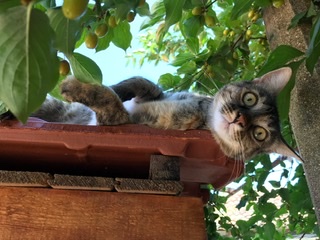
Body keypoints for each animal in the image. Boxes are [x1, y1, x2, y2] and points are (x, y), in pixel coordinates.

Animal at [31, 66, 302, 162]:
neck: (200, 110)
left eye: (259, 134)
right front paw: (118, 86)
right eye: (250, 98)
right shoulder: (154, 94)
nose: (240, 120)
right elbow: (141, 82)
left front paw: (75, 86)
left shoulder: (124, 121)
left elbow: (111, 101)